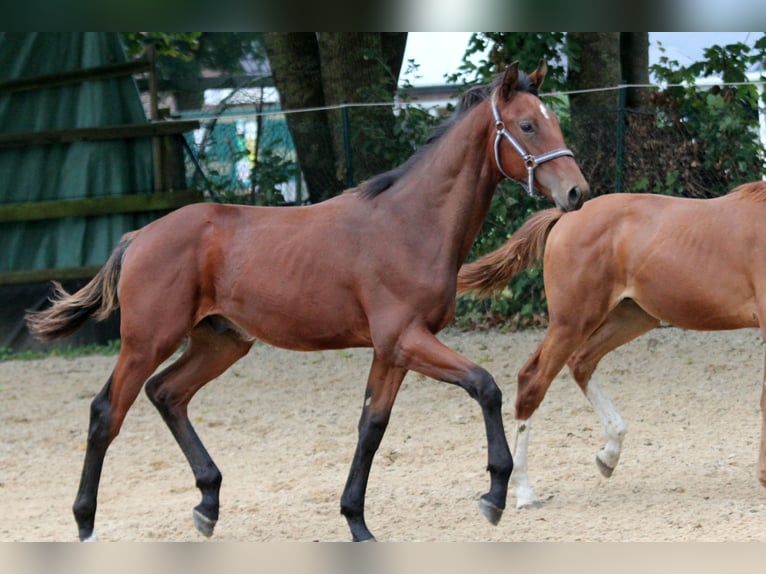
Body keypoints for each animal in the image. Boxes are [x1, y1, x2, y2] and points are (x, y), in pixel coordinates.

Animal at [22, 63, 588, 544]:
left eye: (553, 122)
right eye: (526, 126)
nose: (577, 192)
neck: (411, 222)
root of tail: (139, 236)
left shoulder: (392, 351)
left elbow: (371, 428)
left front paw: (357, 522)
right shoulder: (405, 339)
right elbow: (485, 386)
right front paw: (494, 495)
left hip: (221, 342)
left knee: (167, 393)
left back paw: (207, 504)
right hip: (147, 341)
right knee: (106, 412)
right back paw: (87, 525)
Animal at [460, 183, 766, 508]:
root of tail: (566, 216)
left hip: (631, 316)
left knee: (581, 361)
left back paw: (608, 455)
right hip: (572, 321)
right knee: (534, 379)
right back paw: (525, 492)